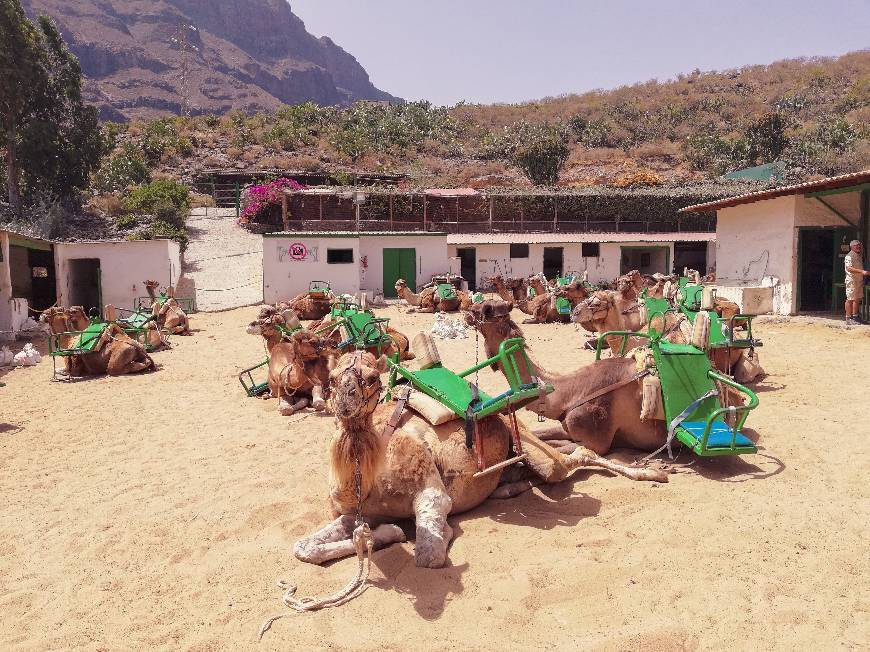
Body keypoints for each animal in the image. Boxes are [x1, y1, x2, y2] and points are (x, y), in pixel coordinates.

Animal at [292, 348, 660, 568]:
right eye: (332, 379)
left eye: (371, 378)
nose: (345, 401)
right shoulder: (354, 512)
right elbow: (303, 548)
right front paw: (387, 533)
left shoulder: (432, 494)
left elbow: (428, 554)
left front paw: (414, 533)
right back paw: (510, 487)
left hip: (535, 449)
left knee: (578, 454)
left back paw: (652, 473)